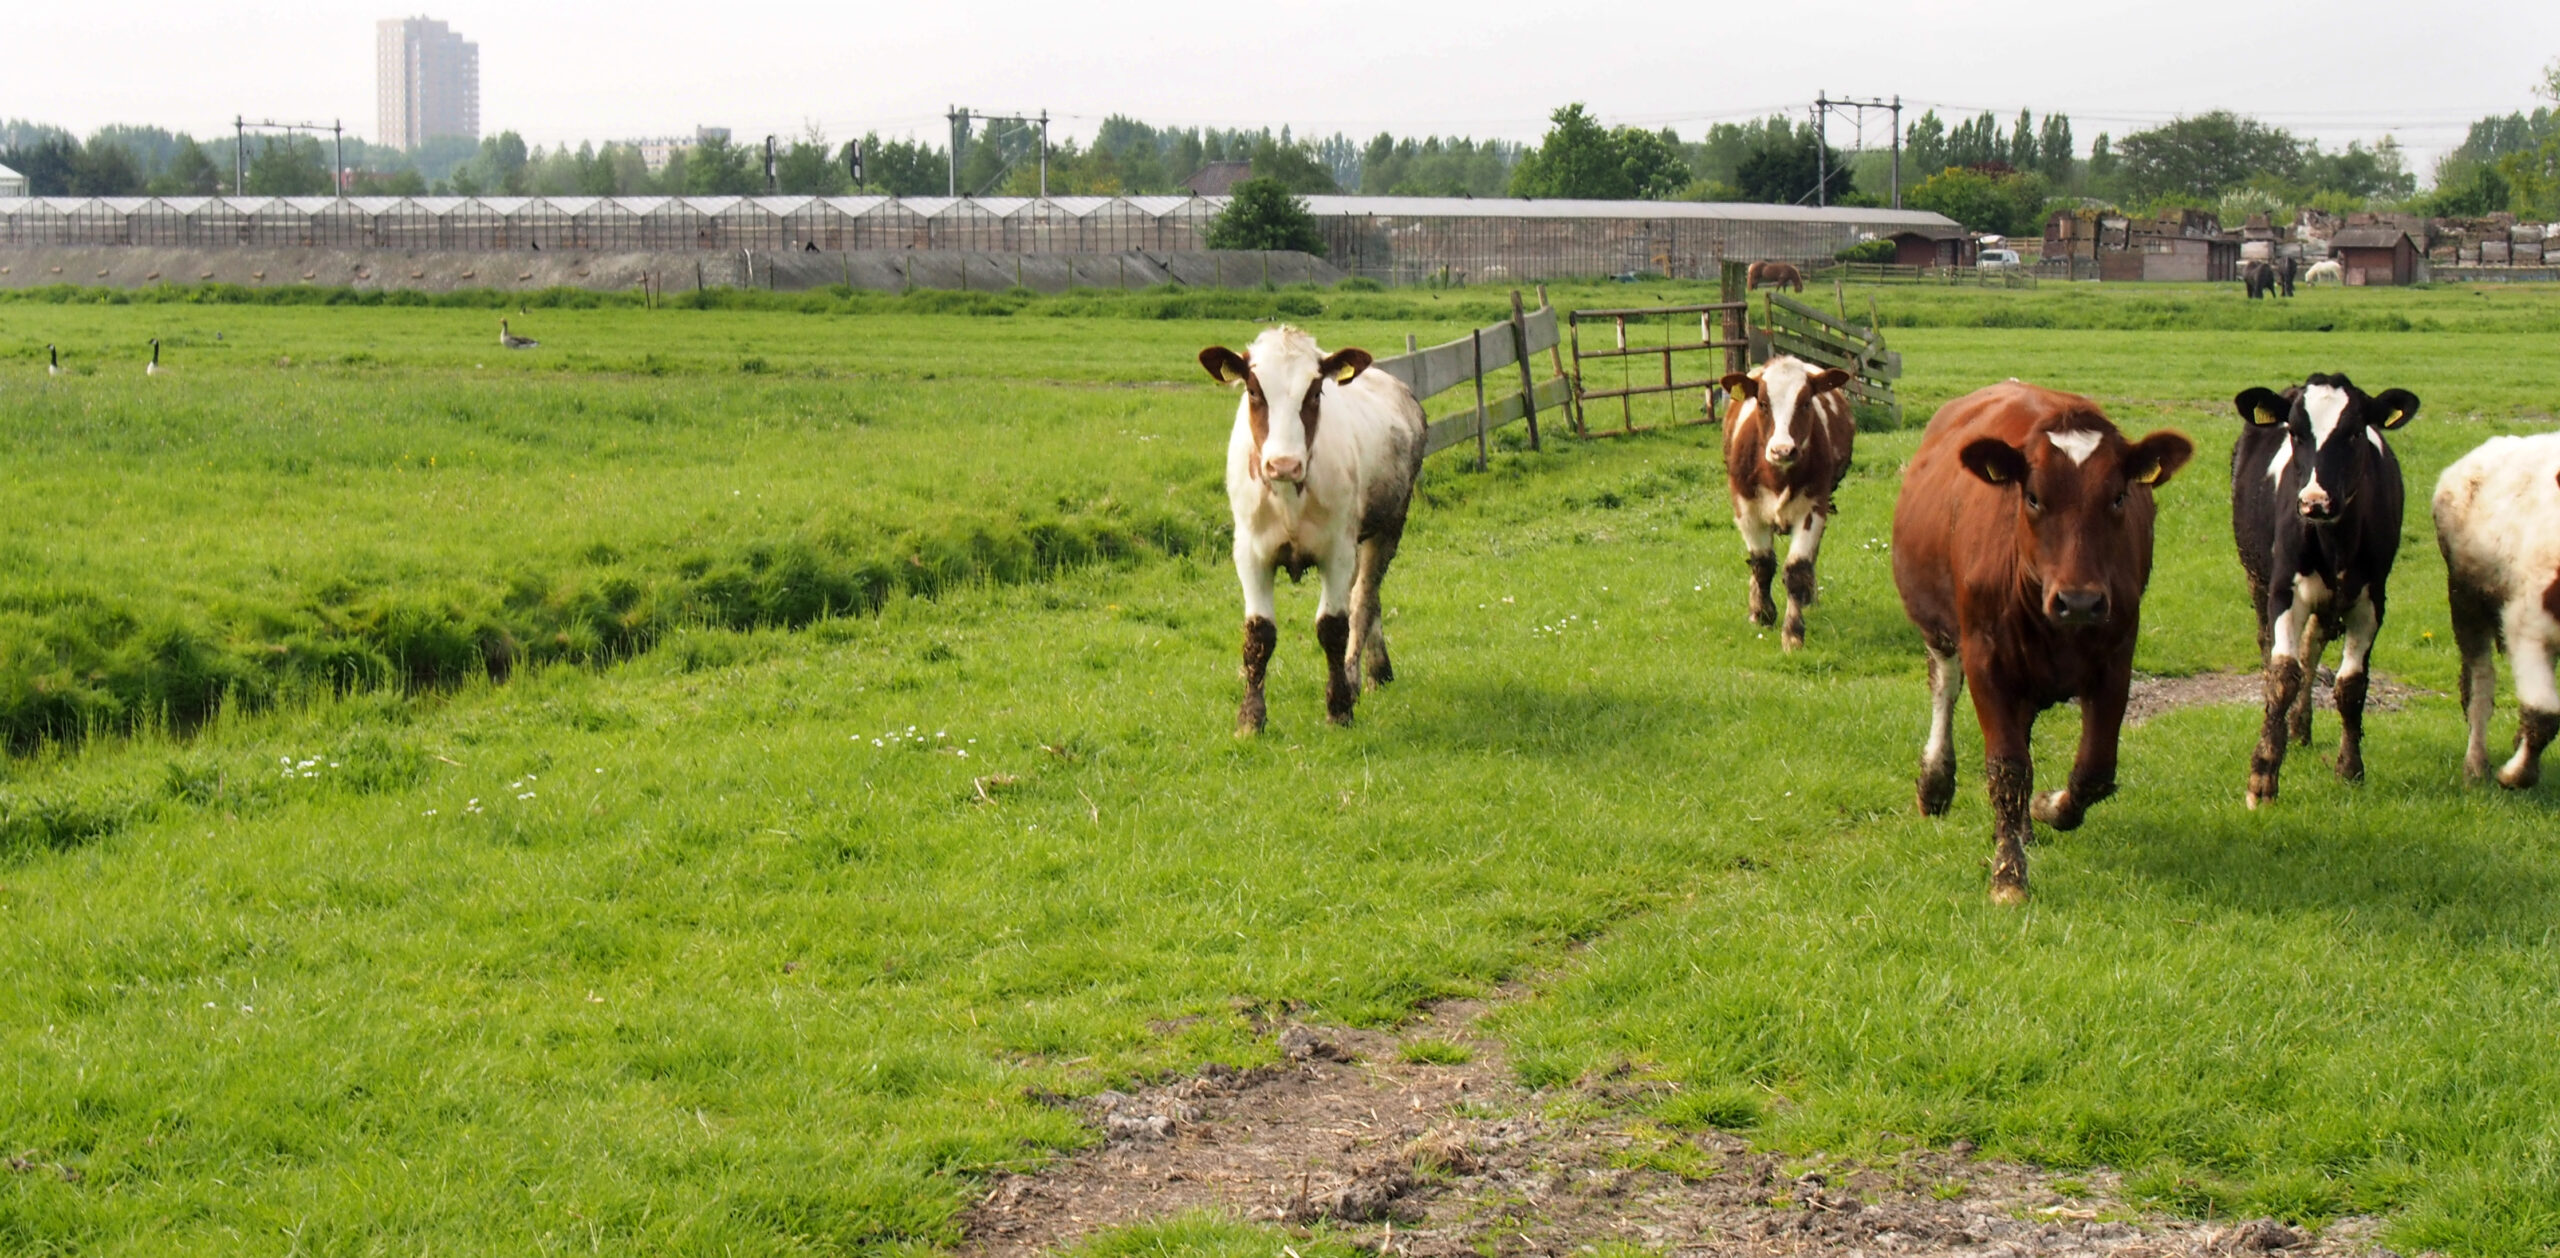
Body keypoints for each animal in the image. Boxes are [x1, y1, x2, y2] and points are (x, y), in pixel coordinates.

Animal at [1192, 325, 1433, 737]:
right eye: (1253, 390)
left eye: (1316, 391)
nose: (1283, 464)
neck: (1289, 497)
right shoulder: (1250, 553)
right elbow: (1259, 633)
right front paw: (1250, 719)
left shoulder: (1337, 551)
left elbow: (1333, 627)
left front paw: (1339, 709)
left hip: (1388, 525)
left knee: (1364, 599)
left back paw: (1360, 675)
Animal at [1720, 353, 1863, 650]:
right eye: (1762, 403)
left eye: (1806, 402)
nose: (1782, 450)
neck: (1777, 475)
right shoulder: (1746, 509)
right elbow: (1762, 563)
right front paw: (1763, 613)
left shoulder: (1813, 508)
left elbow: (1797, 569)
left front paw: (1793, 633)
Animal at [1884, 384, 2201, 906]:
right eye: (2032, 497)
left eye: (2118, 497)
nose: (2080, 601)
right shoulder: (1985, 657)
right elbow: (2007, 768)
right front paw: (2009, 875)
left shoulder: (2117, 659)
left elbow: (2094, 771)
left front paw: (2046, 808)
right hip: (1941, 631)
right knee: (1943, 688)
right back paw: (1936, 784)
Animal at [2222, 374, 2416, 809]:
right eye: (2295, 432)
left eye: (2354, 432)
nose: (2315, 502)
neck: (2334, 541)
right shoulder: (2284, 591)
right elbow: (2283, 675)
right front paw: (2262, 777)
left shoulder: (2372, 600)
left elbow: (2351, 685)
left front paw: (2350, 768)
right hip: (2254, 574)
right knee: (2269, 648)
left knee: (2312, 644)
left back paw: (2301, 725)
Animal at [2416, 432, 2560, 789]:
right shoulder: (2526, 622)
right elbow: (2543, 714)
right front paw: (2516, 775)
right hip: (2466, 600)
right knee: (2480, 683)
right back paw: (2476, 764)